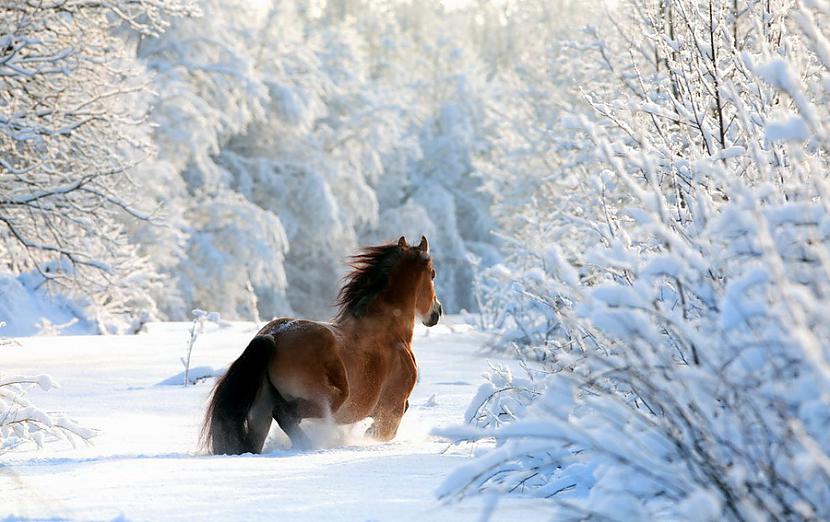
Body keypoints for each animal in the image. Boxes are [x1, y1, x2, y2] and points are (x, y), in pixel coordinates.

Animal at [202, 235, 446, 450]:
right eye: (433, 274)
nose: (437, 312)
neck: (391, 332)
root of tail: (273, 337)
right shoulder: (392, 407)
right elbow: (384, 433)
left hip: (260, 411)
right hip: (328, 400)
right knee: (285, 414)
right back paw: (309, 445)